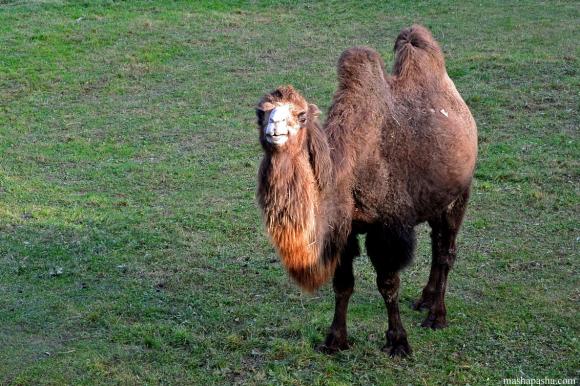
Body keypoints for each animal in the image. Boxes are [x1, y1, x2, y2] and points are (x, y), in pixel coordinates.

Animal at [256, 24, 478, 356]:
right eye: (260, 113)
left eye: (301, 115)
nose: (274, 130)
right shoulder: (344, 228)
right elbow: (343, 284)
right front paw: (335, 340)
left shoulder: (388, 227)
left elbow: (388, 284)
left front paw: (398, 341)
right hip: (435, 199)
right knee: (436, 243)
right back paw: (425, 299)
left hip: (460, 193)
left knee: (446, 251)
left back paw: (437, 316)